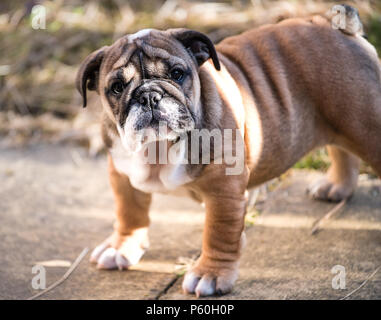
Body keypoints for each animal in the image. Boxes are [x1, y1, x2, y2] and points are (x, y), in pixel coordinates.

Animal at [77, 6, 380, 298]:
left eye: (177, 74)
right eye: (117, 87)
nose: (149, 96)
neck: (160, 147)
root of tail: (334, 23)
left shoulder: (224, 190)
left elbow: (219, 233)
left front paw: (210, 275)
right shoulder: (122, 174)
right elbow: (129, 212)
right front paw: (120, 248)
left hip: (365, 123)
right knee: (340, 148)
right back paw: (336, 186)